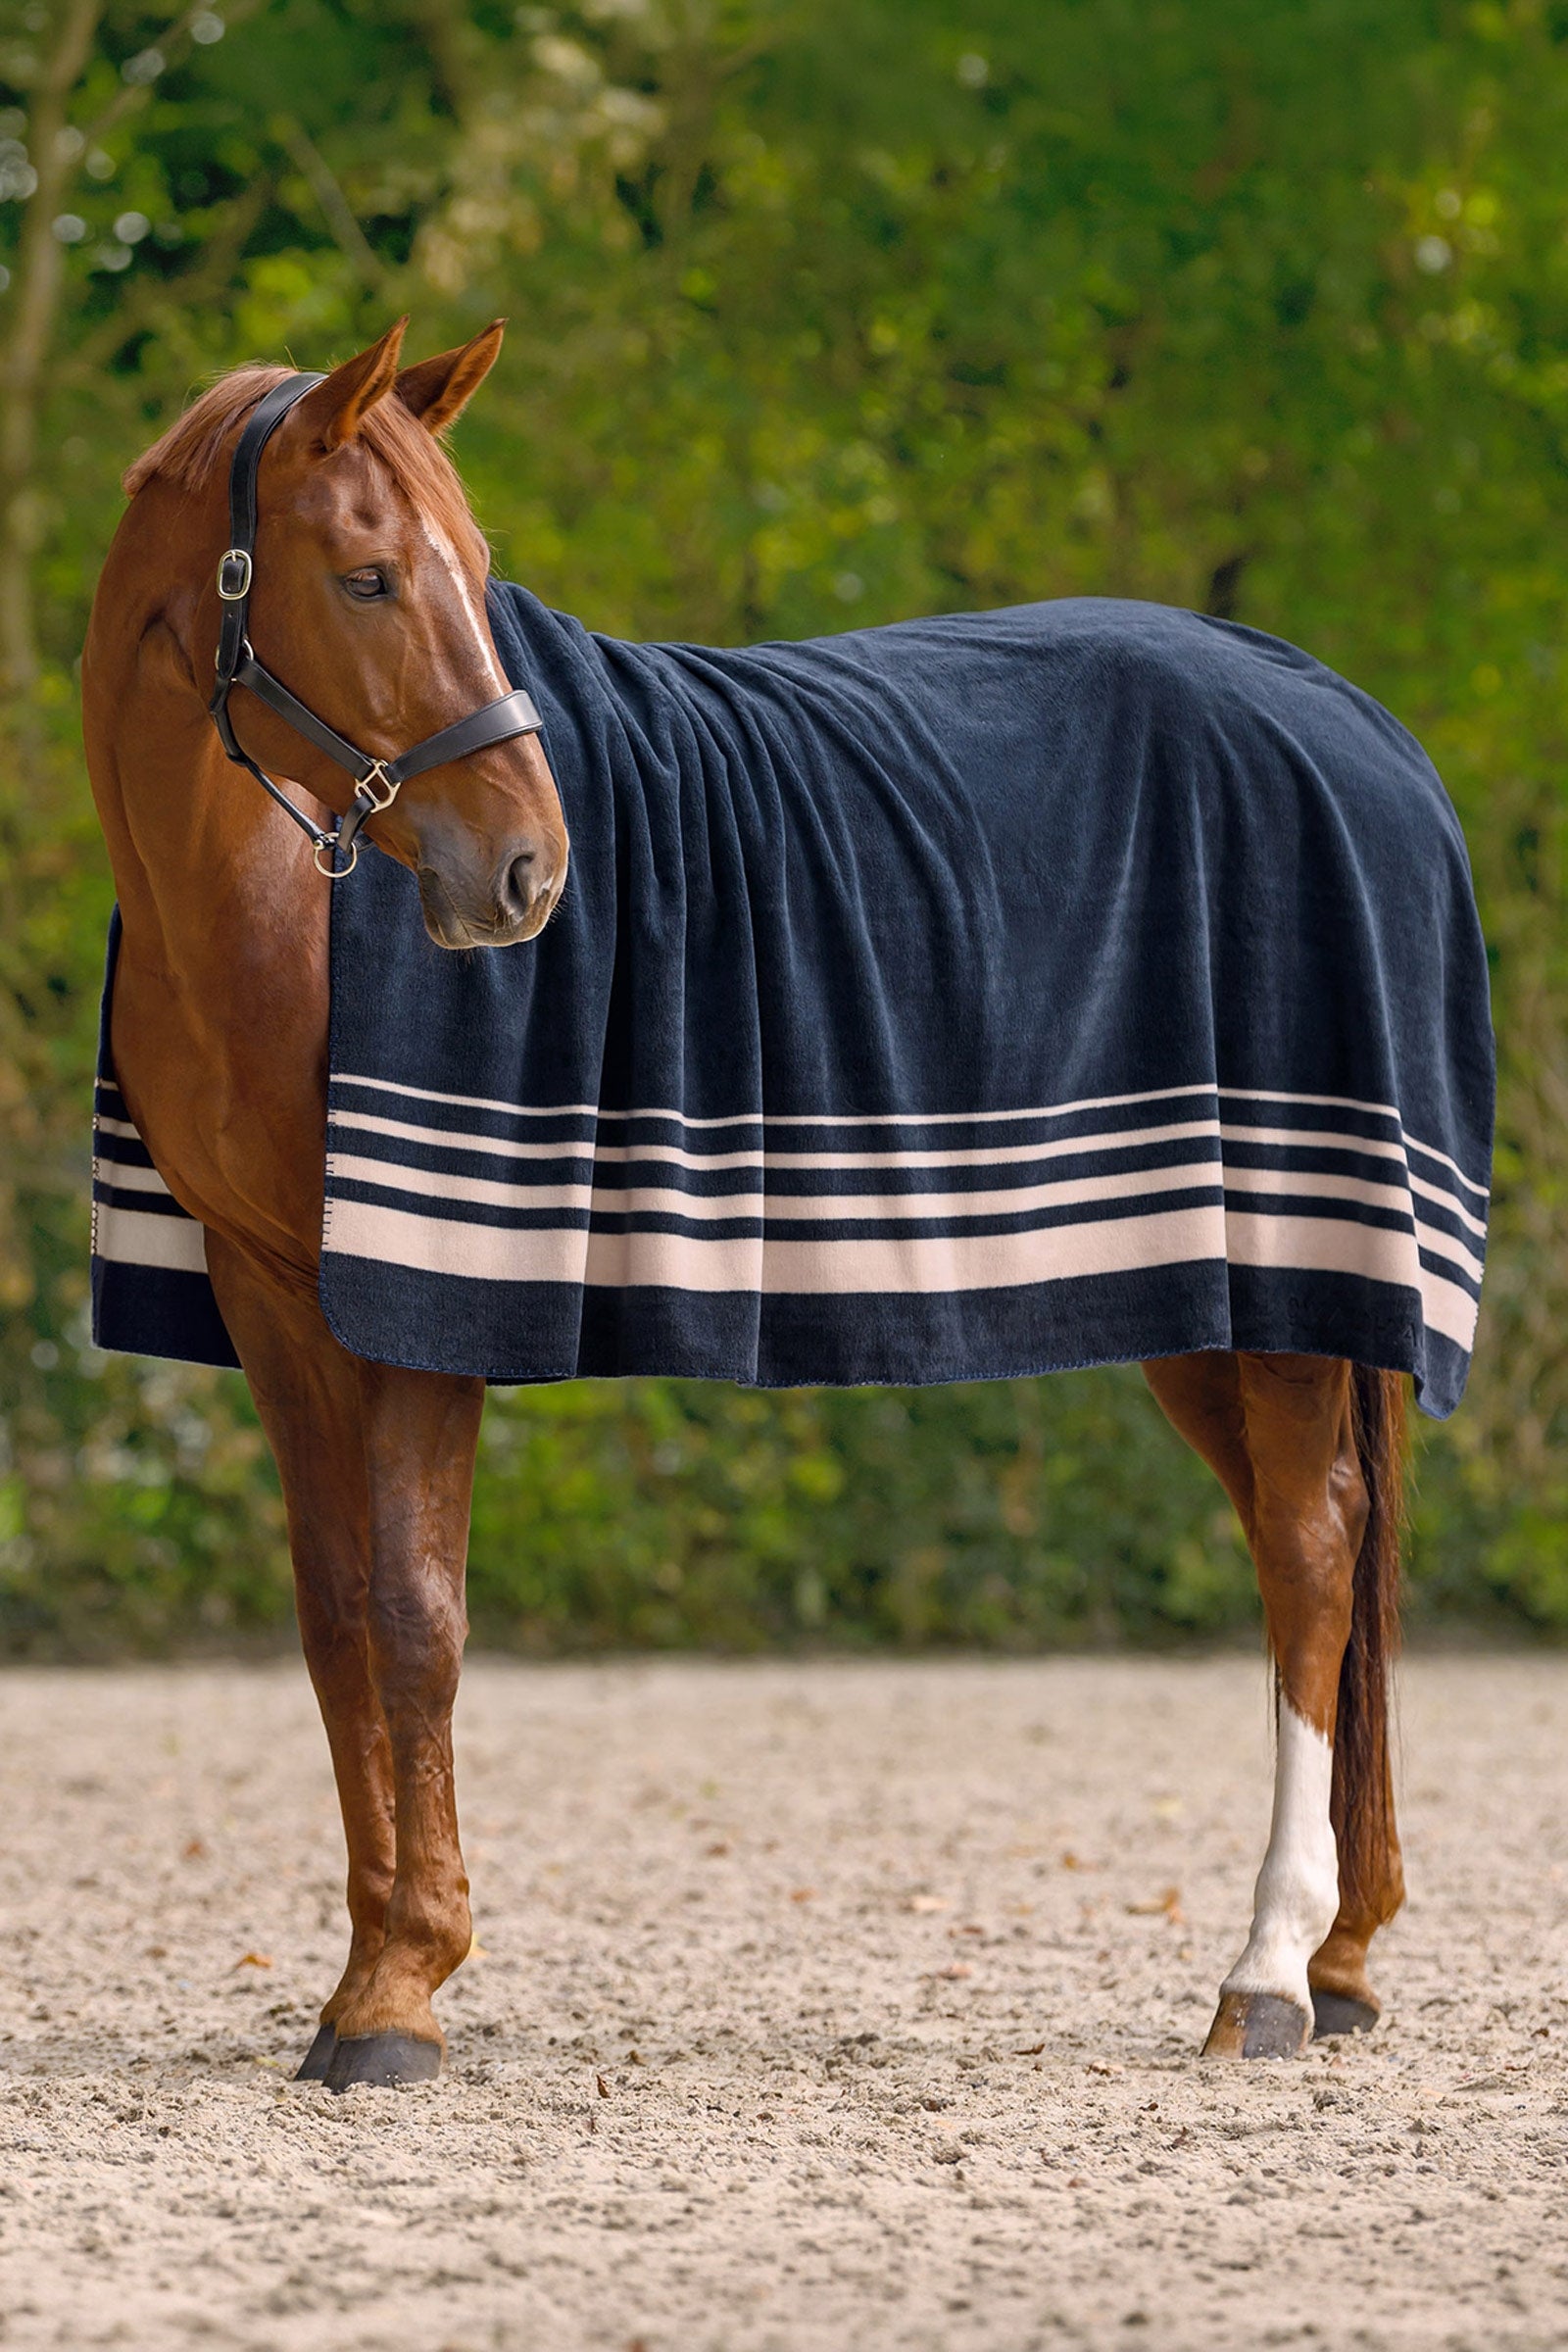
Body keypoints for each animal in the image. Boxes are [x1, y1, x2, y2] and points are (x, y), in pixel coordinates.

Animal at [81, 319, 1484, 2092]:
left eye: (474, 571)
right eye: (370, 576)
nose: (530, 874)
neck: (276, 922)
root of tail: (1365, 731)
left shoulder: (429, 1300)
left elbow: (416, 1616)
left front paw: (401, 1989)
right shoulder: (274, 1298)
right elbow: (338, 1621)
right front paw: (359, 1977)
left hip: (1290, 1290)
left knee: (1310, 1555)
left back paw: (1268, 1973)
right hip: (1220, 1301)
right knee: (1321, 1564)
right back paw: (1346, 1954)